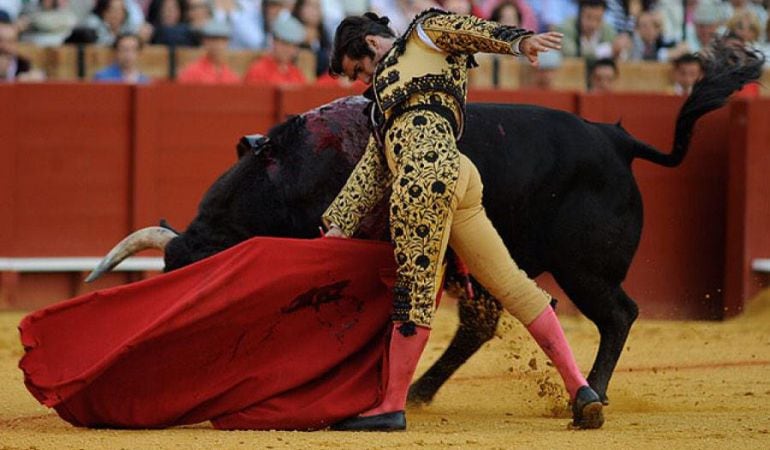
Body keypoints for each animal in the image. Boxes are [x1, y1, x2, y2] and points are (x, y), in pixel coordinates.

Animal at [90, 42, 760, 404]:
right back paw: (421, 391)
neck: (288, 178)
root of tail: (617, 139)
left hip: (585, 268)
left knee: (618, 314)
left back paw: (590, 392)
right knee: (489, 322)